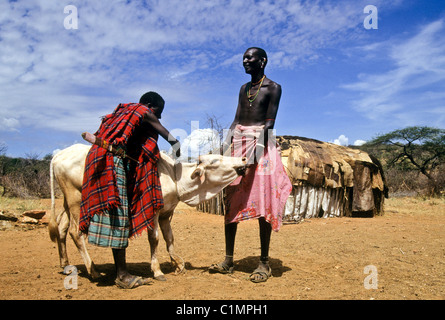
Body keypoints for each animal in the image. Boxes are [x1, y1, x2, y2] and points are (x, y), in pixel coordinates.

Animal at [48, 144, 246, 282]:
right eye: (215, 161)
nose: (244, 159)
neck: (174, 176)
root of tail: (58, 155)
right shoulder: (154, 212)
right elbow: (155, 239)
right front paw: (157, 270)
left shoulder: (167, 213)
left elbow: (169, 238)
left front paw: (178, 264)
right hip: (75, 199)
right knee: (75, 232)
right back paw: (94, 271)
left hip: (68, 202)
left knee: (62, 227)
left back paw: (65, 264)